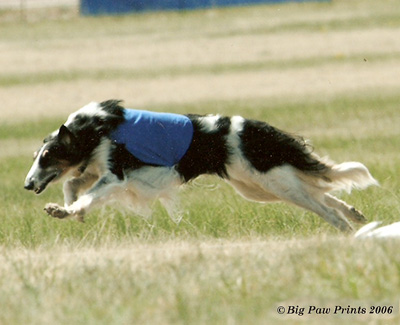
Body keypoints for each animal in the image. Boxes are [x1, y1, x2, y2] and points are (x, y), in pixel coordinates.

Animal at [24, 100, 378, 232]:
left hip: (271, 181)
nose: (27, 185)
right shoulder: (96, 170)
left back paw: (349, 230)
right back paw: (355, 215)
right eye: (37, 156)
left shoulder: (115, 176)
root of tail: (255, 128)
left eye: (47, 156)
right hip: (258, 186)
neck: (95, 129)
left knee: (325, 207)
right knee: (322, 194)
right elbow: (73, 184)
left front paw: (65, 210)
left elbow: (86, 192)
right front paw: (71, 211)